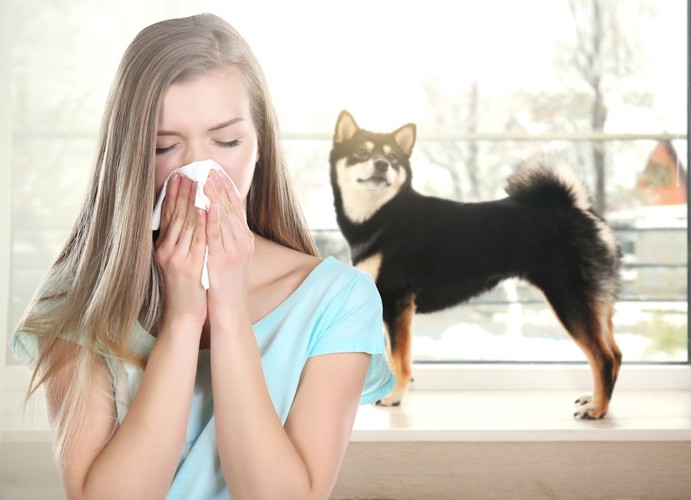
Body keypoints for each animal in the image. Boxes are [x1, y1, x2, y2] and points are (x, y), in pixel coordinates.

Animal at [328, 109, 624, 418]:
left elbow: (399, 360)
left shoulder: (397, 301)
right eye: (361, 152)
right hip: (595, 301)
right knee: (615, 354)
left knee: (603, 357)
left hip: (569, 298)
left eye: (393, 158)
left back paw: (598, 409)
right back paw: (595, 400)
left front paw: (394, 397)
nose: (382, 164)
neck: (384, 215)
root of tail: (580, 209)